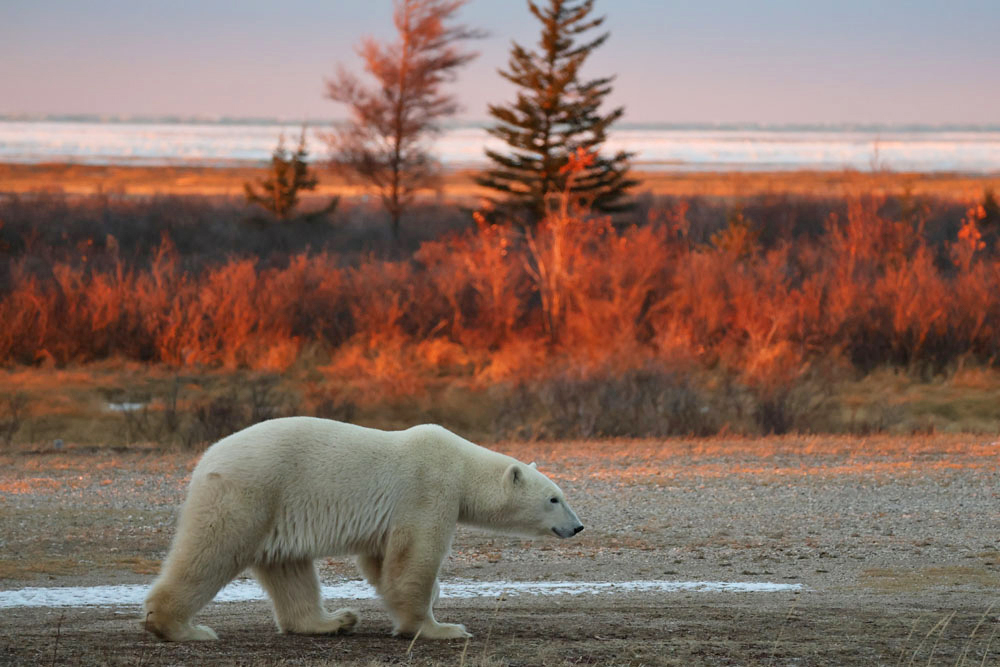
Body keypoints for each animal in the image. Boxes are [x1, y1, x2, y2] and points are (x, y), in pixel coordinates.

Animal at [145, 418, 588, 640]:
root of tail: (206, 460)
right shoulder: (428, 488)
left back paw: (332, 620)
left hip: (278, 508)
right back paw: (182, 628)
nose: (578, 526)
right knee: (211, 552)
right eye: (555, 498)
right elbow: (414, 558)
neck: (462, 465)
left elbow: (381, 560)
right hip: (251, 492)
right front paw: (441, 628)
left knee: (289, 568)